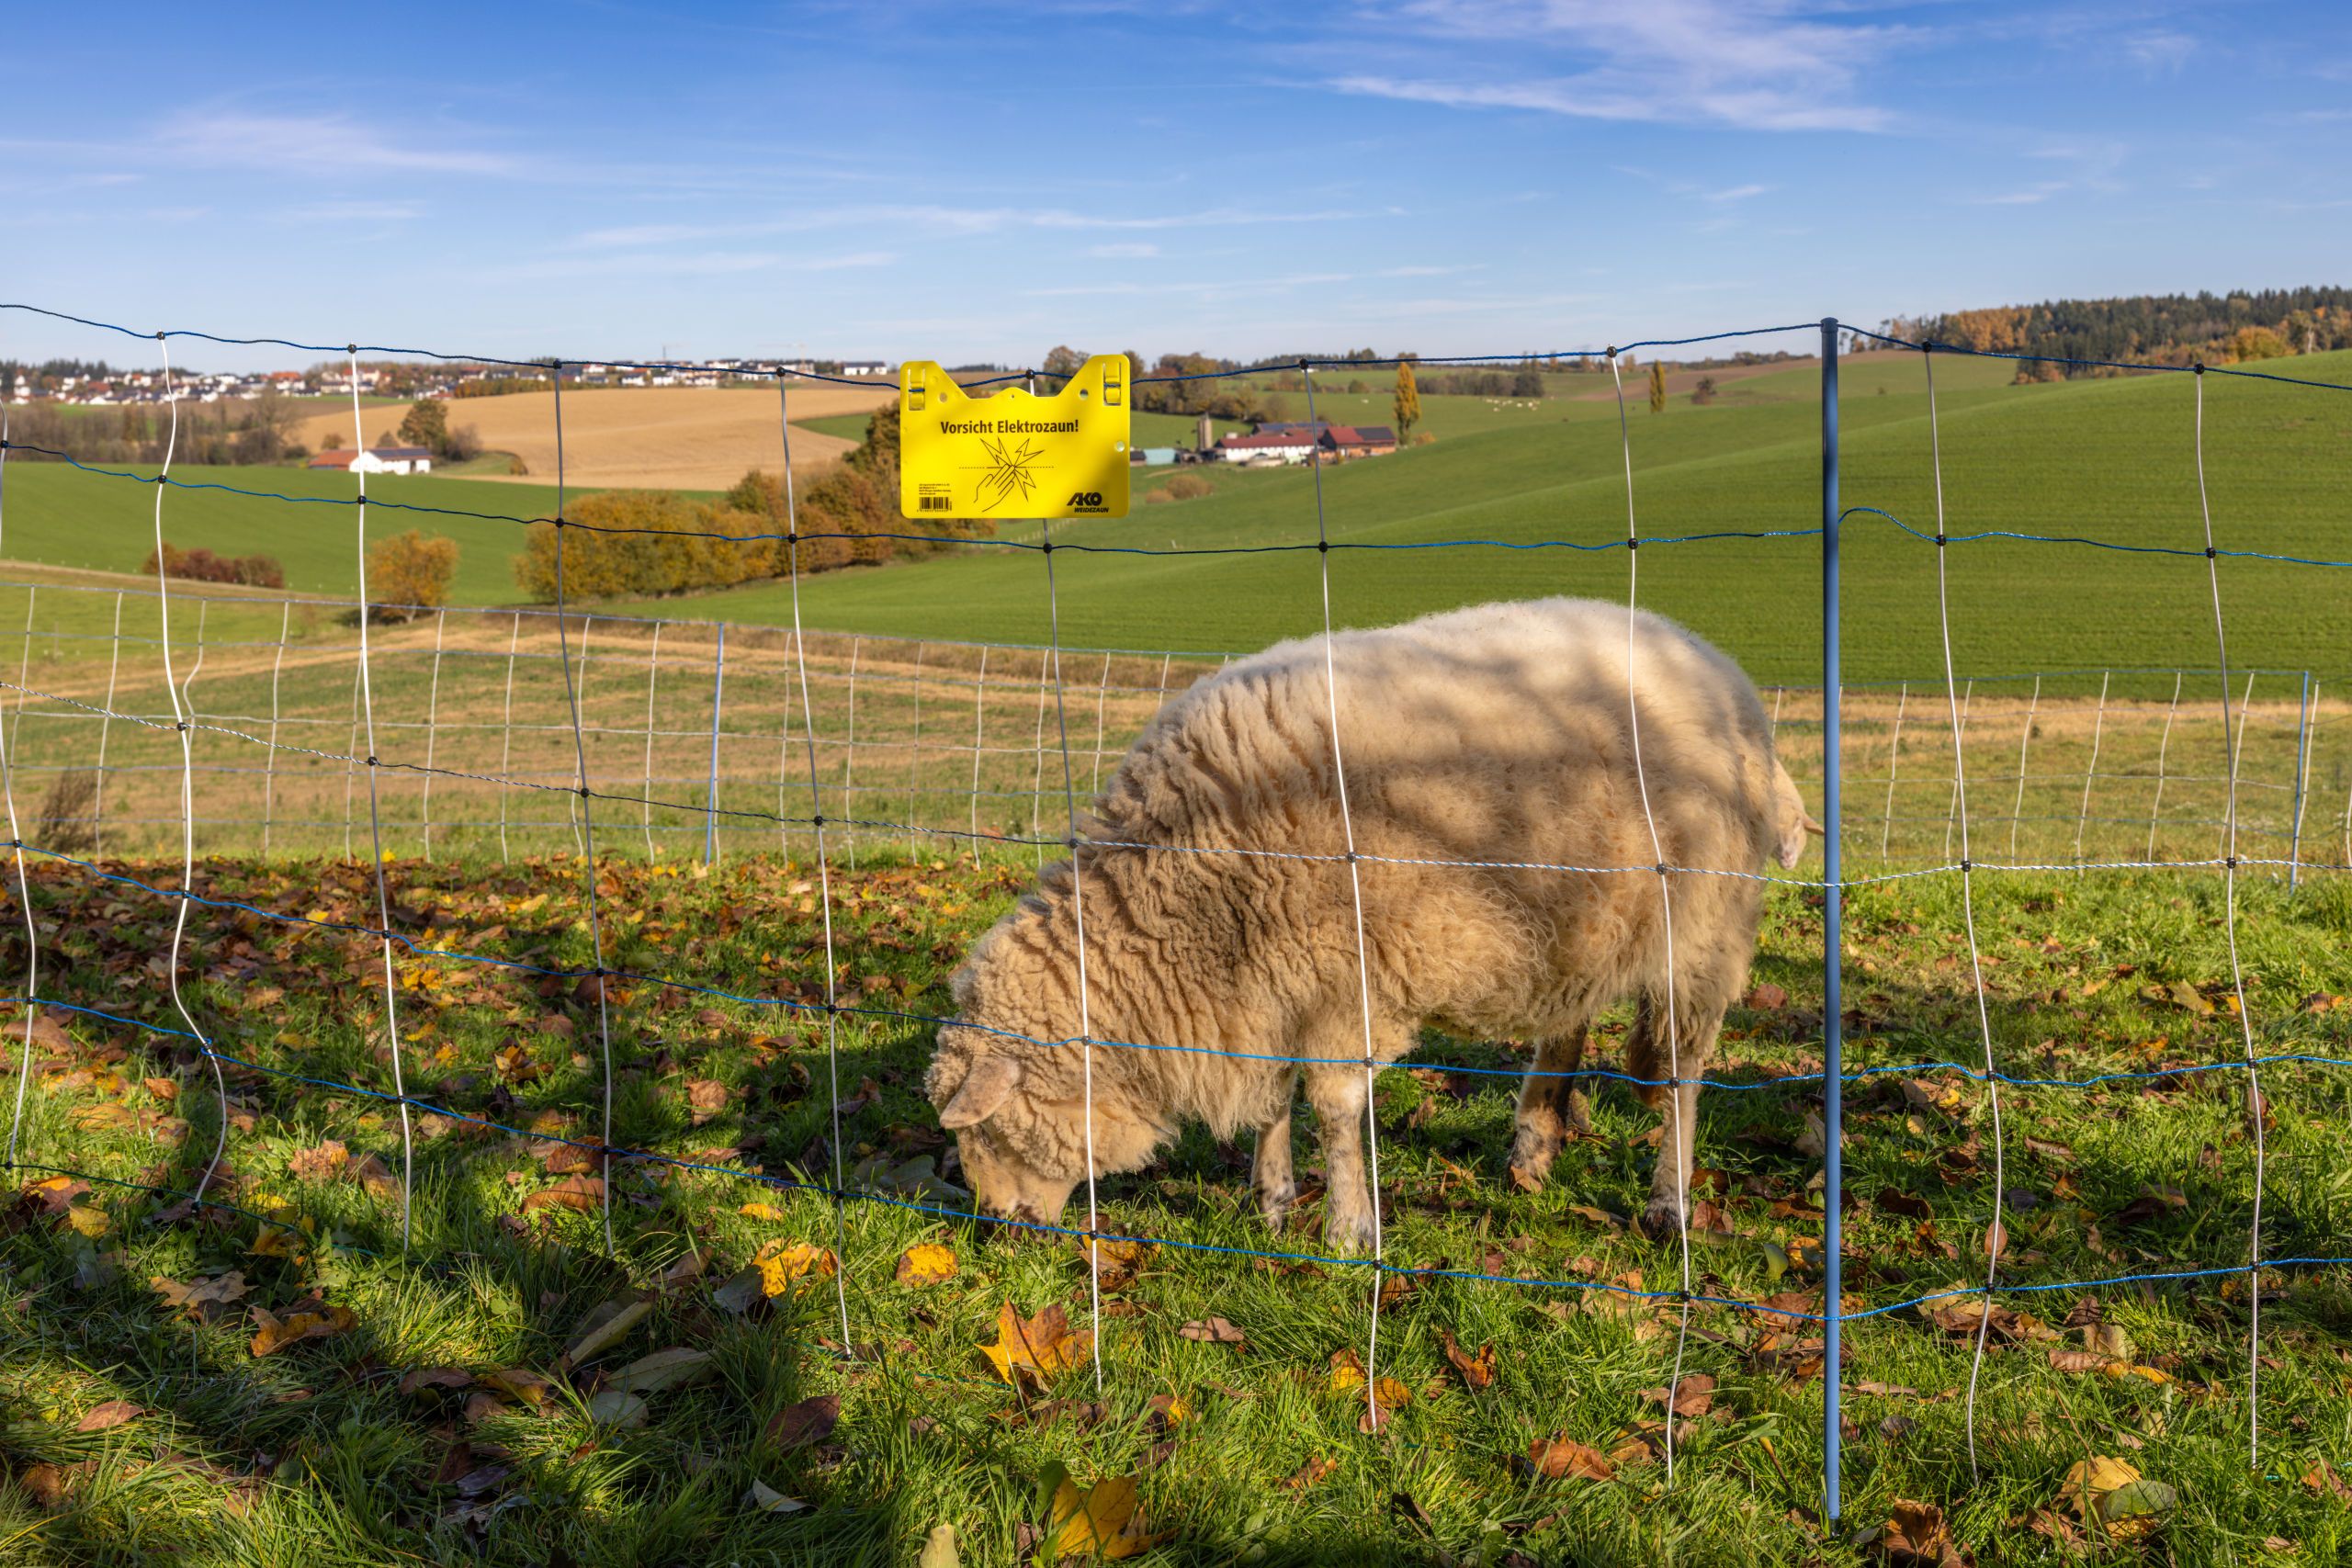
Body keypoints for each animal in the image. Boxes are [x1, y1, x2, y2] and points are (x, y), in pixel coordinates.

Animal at [926, 596, 1814, 1253]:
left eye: (991, 1131)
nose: (996, 1230)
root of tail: (1718, 669)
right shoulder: (1273, 982)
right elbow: (1274, 1099)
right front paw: (1273, 1200)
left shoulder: (1343, 977)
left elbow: (1334, 1106)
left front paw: (1350, 1229)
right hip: (1584, 918)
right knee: (1568, 1020)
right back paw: (1532, 1147)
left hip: (1702, 927)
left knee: (1682, 1071)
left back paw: (1669, 1201)